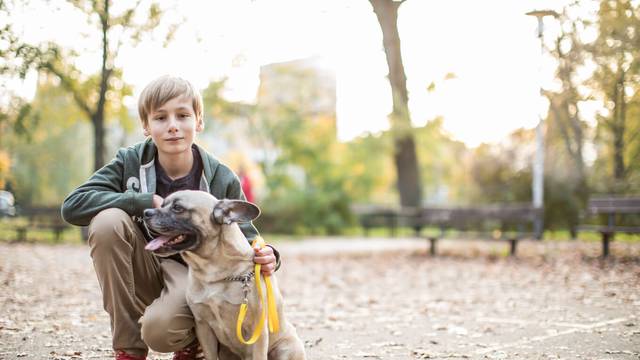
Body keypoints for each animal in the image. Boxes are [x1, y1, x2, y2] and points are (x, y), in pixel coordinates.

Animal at [143, 190, 308, 358]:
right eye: (162, 204)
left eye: (177, 208)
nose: (146, 212)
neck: (213, 272)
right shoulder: (203, 327)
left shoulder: (258, 331)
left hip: (285, 348)